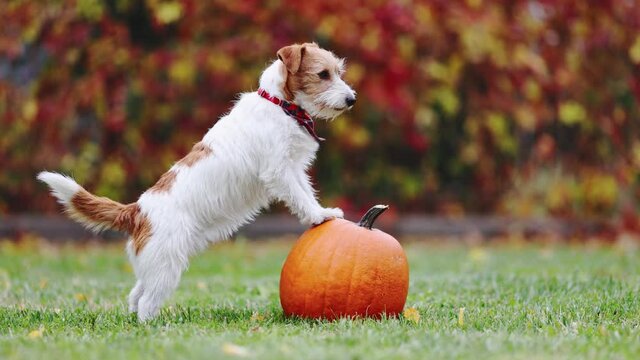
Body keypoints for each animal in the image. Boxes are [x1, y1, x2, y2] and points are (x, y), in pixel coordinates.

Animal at [36, 42, 356, 320]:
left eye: (338, 71)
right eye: (323, 74)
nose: (351, 99)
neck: (280, 104)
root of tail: (137, 210)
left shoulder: (294, 169)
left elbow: (306, 192)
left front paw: (323, 211)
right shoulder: (279, 171)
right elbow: (300, 198)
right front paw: (319, 216)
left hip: (157, 264)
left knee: (136, 294)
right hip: (166, 266)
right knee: (146, 303)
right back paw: (153, 327)